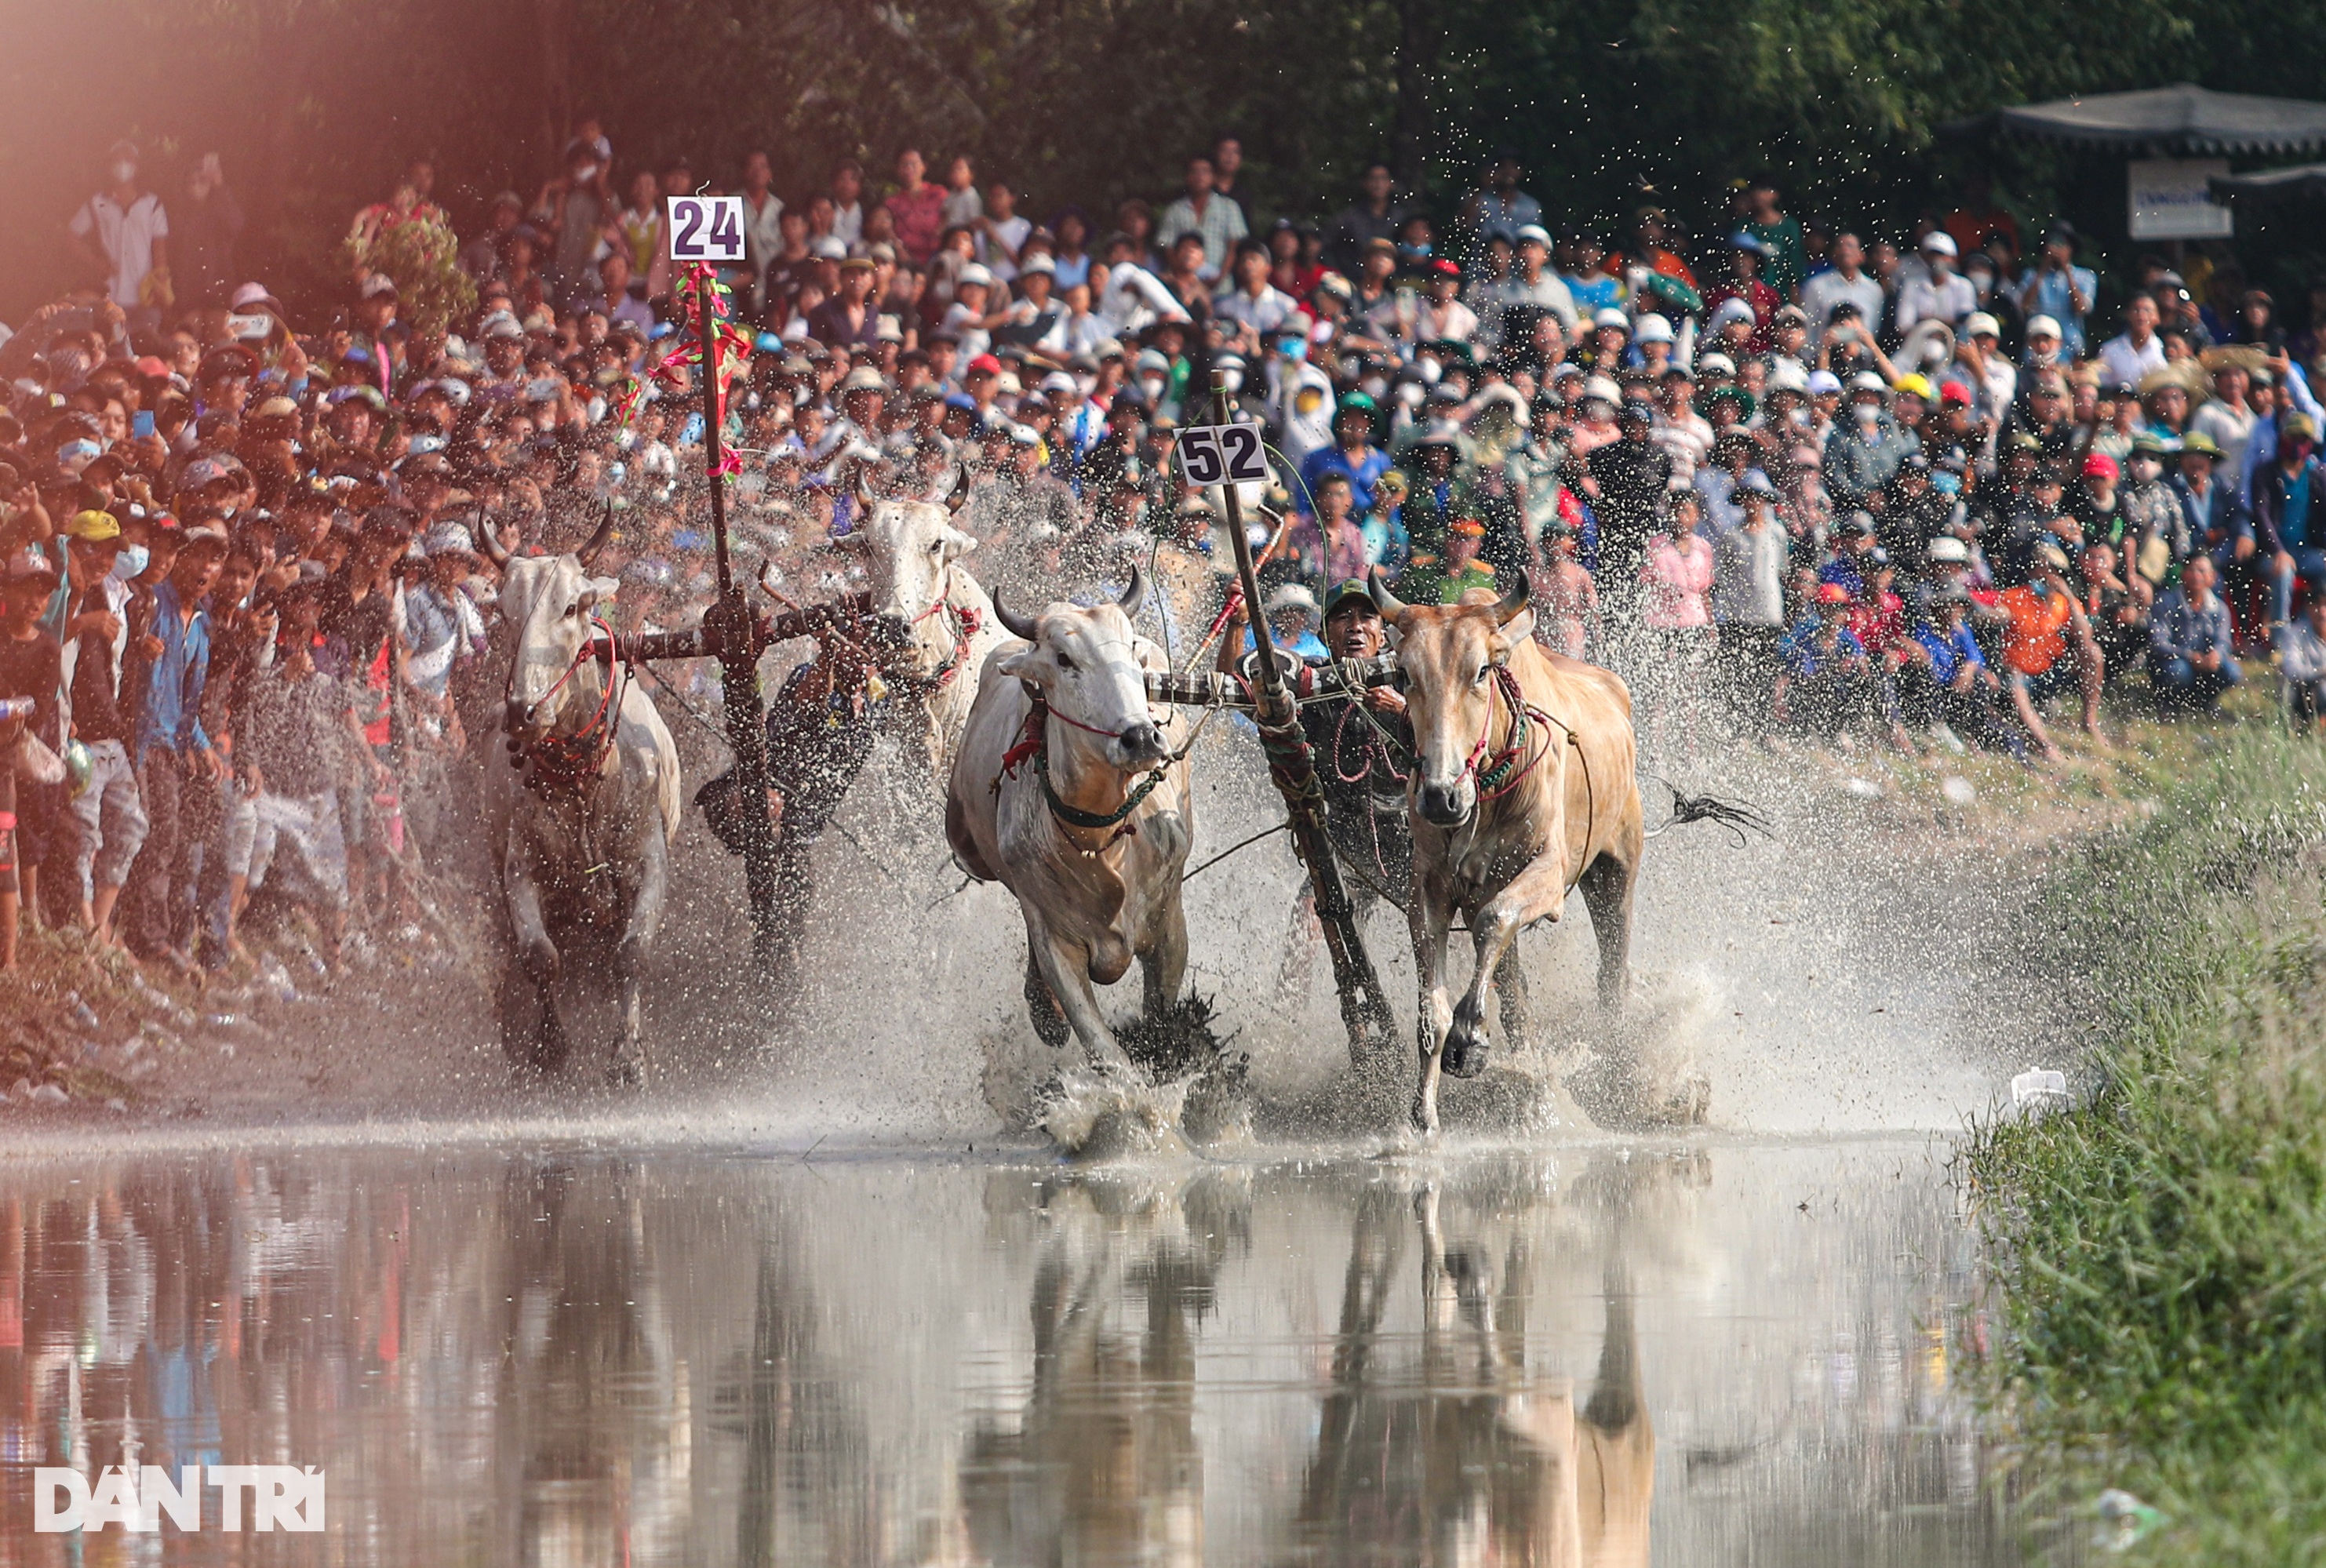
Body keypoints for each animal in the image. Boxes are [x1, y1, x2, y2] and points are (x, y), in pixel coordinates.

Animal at [944, 567, 1199, 1070]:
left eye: (1130, 649)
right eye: (1063, 659)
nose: (1142, 738)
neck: (1102, 836)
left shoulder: (1169, 926)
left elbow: (1160, 1022)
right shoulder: (1056, 941)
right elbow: (1105, 1051)